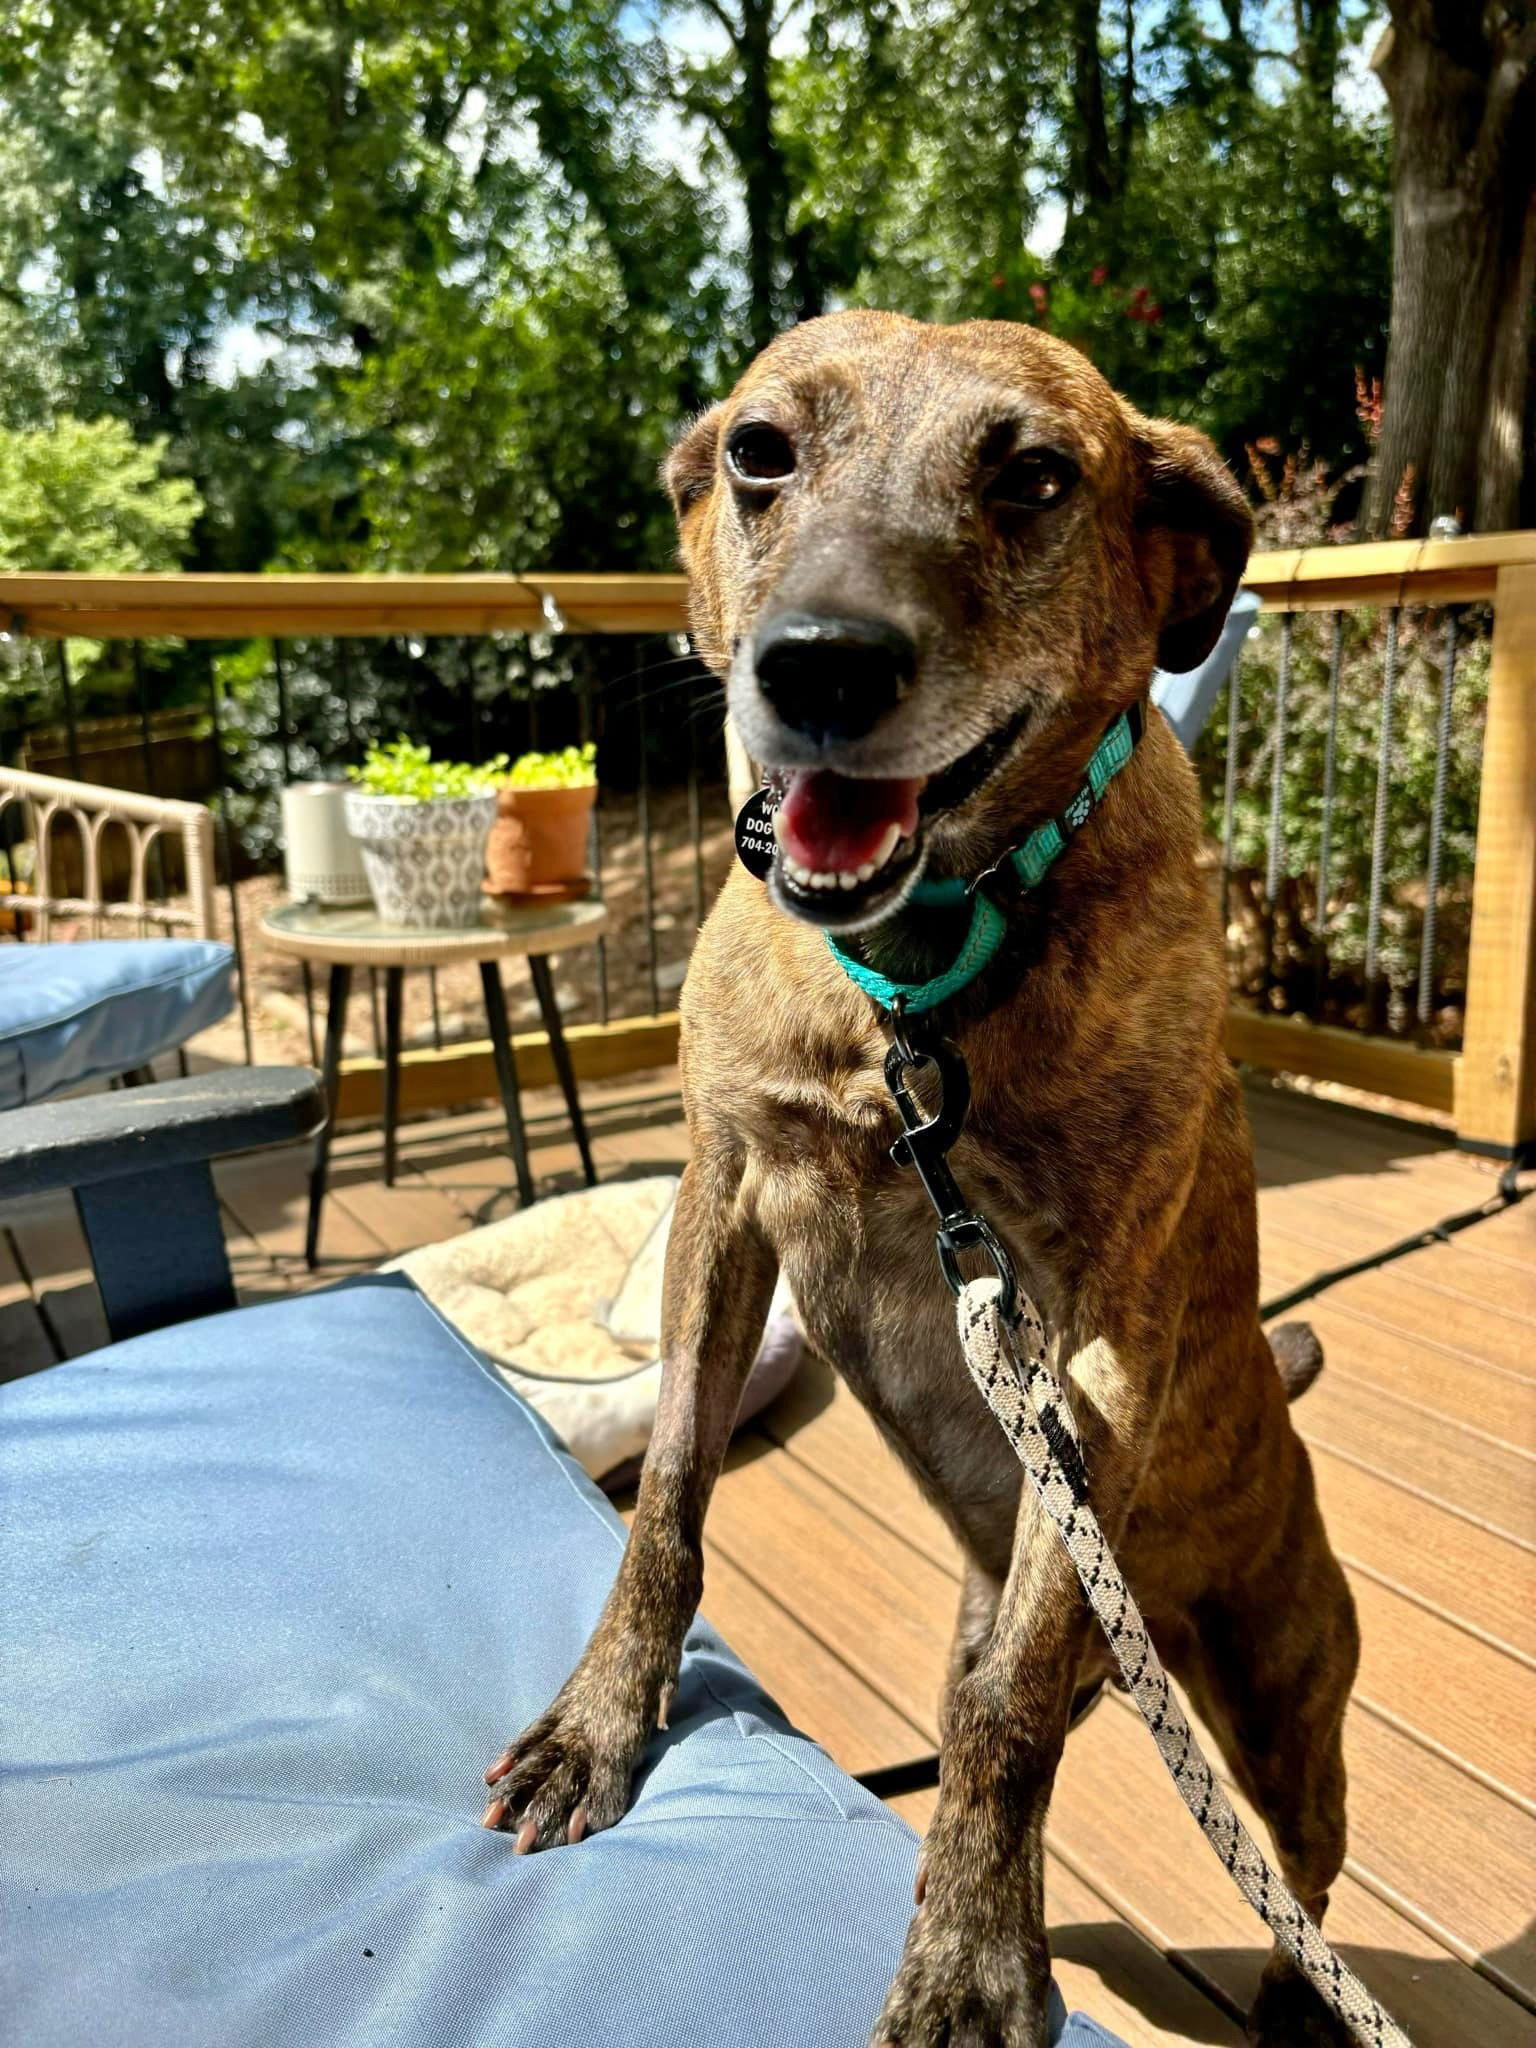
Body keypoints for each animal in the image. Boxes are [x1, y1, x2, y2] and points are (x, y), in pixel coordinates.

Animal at [481, 303, 1359, 2048]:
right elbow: (667, 1500)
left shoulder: (1095, 1341)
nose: (820, 663)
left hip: (1284, 1699)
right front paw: (604, 1723)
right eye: (760, 451)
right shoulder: (728, 1192)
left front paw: (965, 1960)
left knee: (1294, 1856)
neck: (915, 981)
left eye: (1035, 477)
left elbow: (1014, 1708)